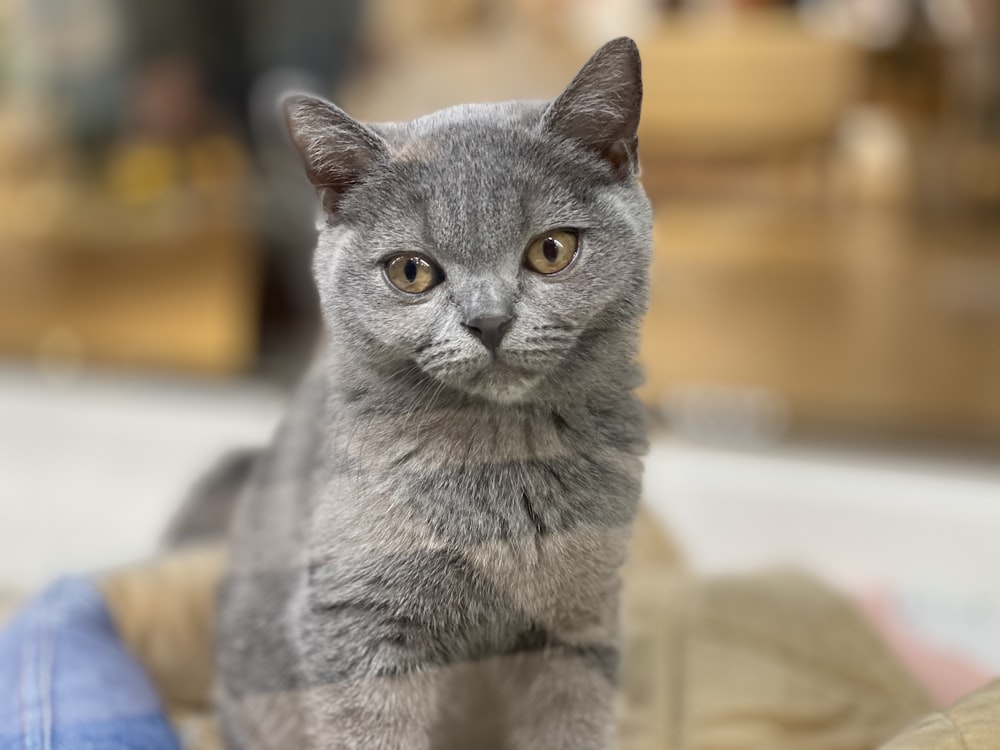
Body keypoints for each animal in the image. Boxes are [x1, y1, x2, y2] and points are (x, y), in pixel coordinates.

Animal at [218, 36, 652, 750]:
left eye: (552, 250)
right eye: (410, 271)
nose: (489, 320)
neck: (501, 466)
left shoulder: (581, 617)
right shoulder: (356, 619)